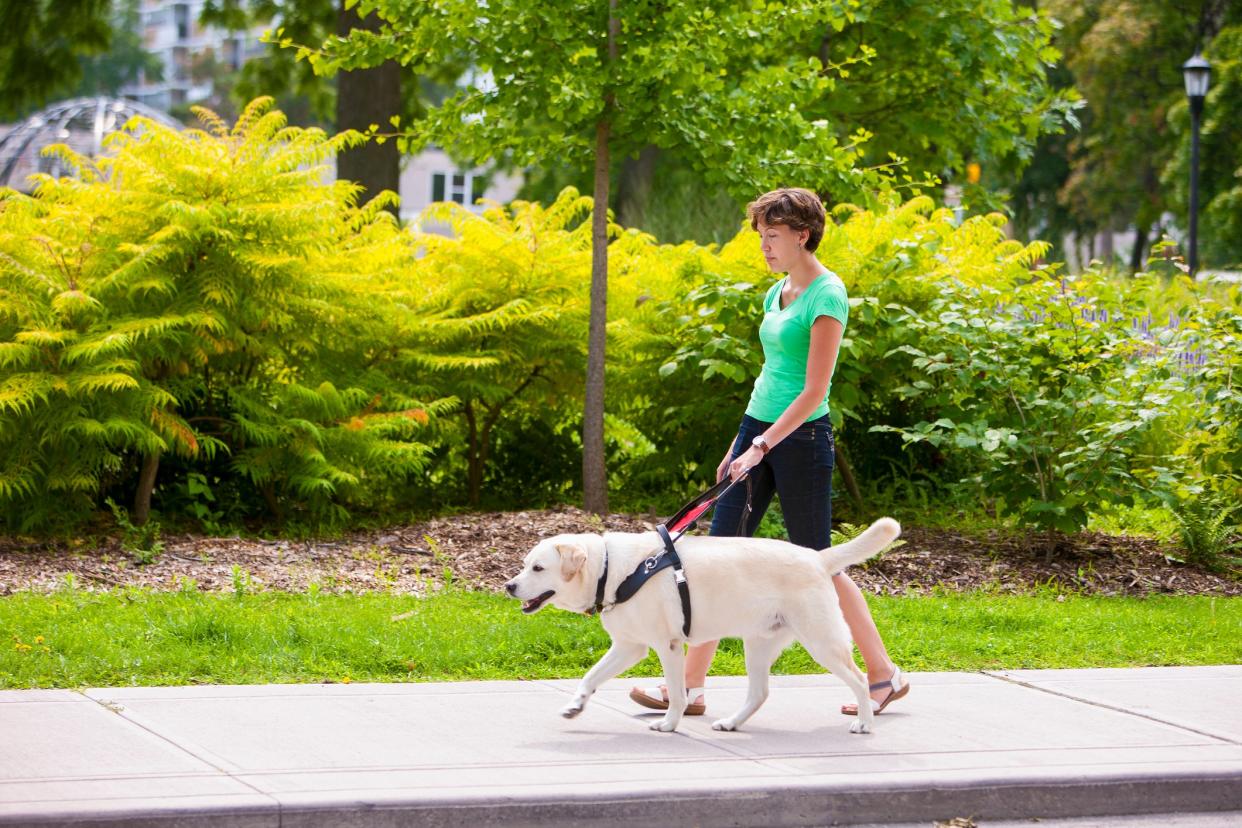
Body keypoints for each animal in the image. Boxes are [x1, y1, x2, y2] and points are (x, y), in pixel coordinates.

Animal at [504, 518, 904, 739]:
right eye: (525, 565)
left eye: (538, 568)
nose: (509, 586)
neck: (610, 569)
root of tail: (817, 557)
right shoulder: (629, 646)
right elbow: (590, 676)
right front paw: (575, 705)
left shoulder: (666, 645)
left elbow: (679, 694)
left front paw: (669, 724)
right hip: (758, 644)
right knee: (759, 693)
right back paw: (731, 723)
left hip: (821, 641)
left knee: (858, 679)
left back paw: (865, 722)